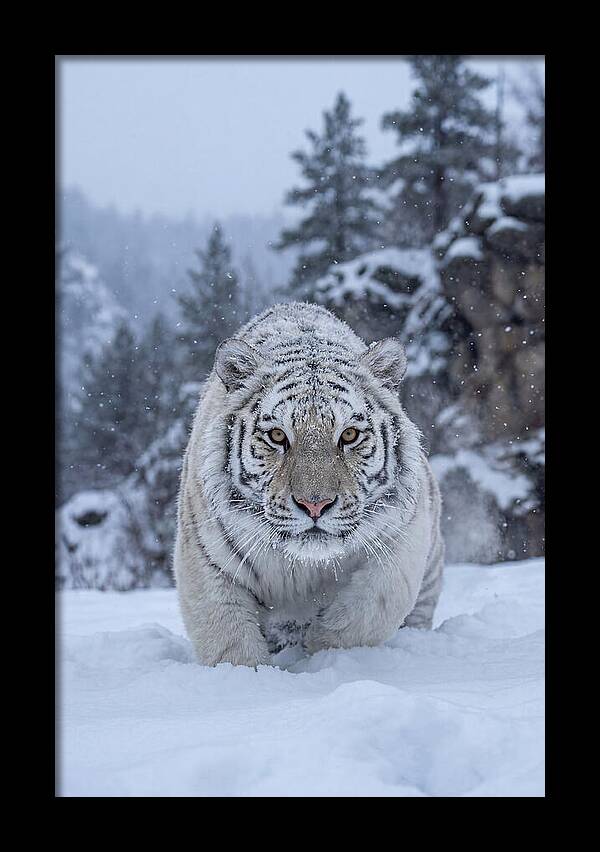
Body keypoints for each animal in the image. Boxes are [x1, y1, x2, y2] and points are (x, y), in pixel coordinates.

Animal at [174, 302, 444, 667]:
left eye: (349, 435)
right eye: (277, 436)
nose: (314, 504)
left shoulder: (402, 539)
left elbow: (370, 609)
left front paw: (322, 649)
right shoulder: (206, 560)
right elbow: (229, 640)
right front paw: (249, 675)